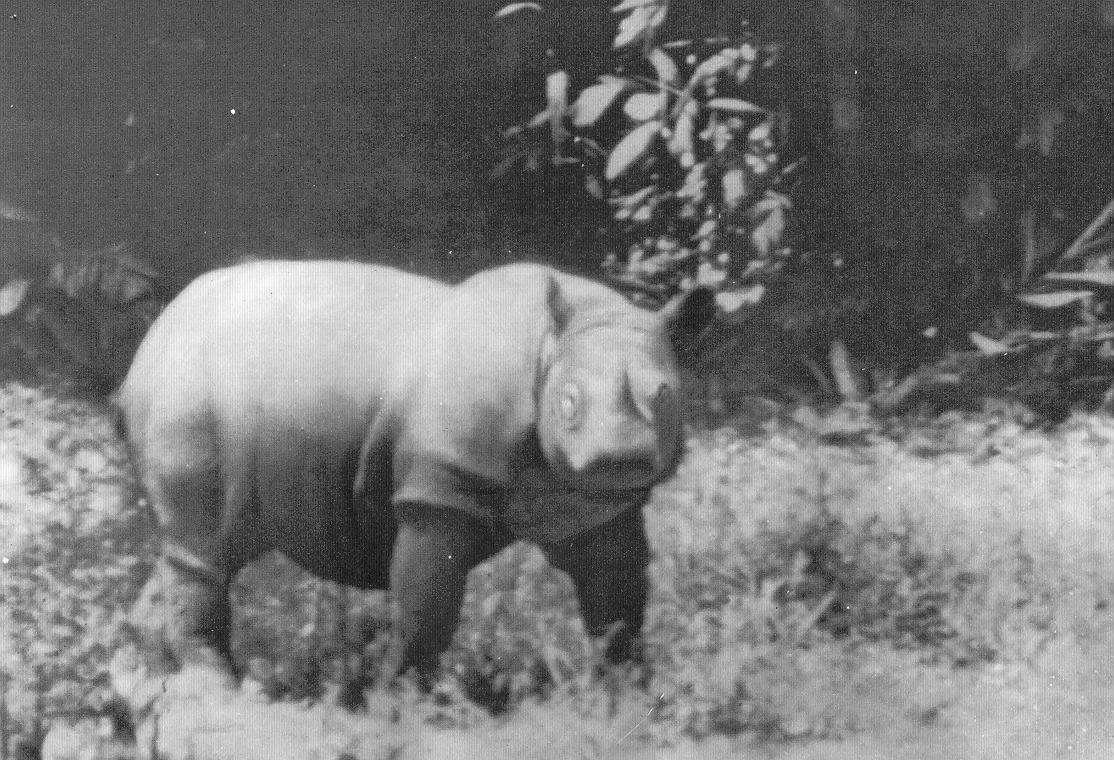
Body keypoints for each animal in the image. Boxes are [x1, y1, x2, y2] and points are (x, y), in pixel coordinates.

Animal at [115, 261, 713, 687]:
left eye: (667, 398)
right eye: (567, 404)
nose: (621, 458)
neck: (551, 347)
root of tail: (153, 336)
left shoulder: (591, 504)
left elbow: (615, 598)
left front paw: (628, 695)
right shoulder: (440, 489)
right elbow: (426, 609)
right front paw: (406, 703)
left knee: (202, 549)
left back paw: (147, 680)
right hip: (187, 393)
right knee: (207, 549)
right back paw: (218, 687)